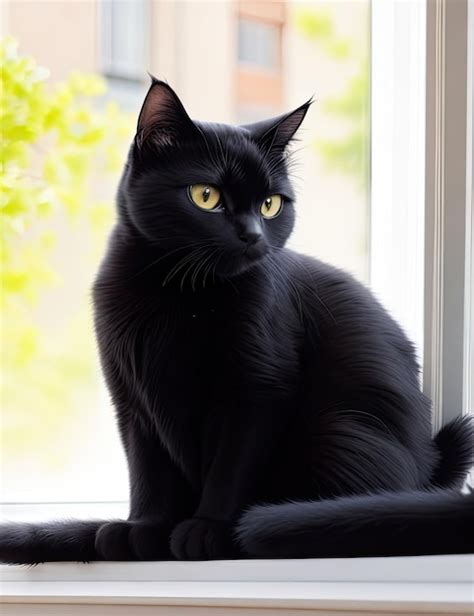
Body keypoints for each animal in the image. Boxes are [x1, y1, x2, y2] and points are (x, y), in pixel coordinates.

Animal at [1, 78, 472, 564]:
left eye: (270, 204)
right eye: (205, 196)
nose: (252, 235)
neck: (178, 296)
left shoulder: (256, 389)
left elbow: (232, 465)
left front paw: (206, 529)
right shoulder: (132, 401)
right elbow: (147, 469)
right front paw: (144, 528)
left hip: (340, 430)